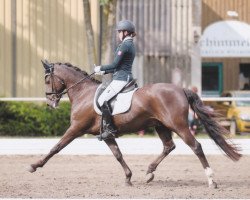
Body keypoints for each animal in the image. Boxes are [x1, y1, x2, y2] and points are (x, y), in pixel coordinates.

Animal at [28, 60, 241, 188]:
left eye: (47, 79)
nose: (50, 103)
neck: (83, 93)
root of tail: (180, 89)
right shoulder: (106, 134)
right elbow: (118, 154)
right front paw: (129, 177)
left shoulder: (76, 129)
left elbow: (56, 147)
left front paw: (34, 165)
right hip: (160, 125)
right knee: (169, 146)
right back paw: (149, 173)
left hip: (178, 125)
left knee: (196, 146)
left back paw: (211, 180)